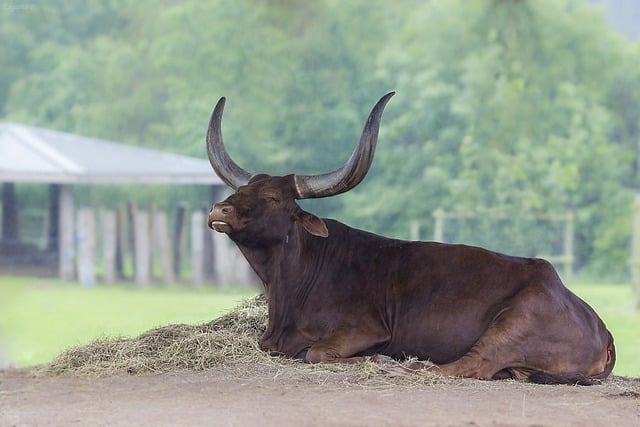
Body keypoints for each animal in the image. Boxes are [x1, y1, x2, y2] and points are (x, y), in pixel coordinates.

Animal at [205, 92, 616, 386]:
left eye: (275, 198)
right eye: (242, 190)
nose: (219, 210)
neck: (290, 286)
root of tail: (599, 325)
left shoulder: (366, 329)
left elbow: (315, 354)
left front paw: (378, 358)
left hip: (512, 325)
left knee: (469, 366)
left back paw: (402, 365)